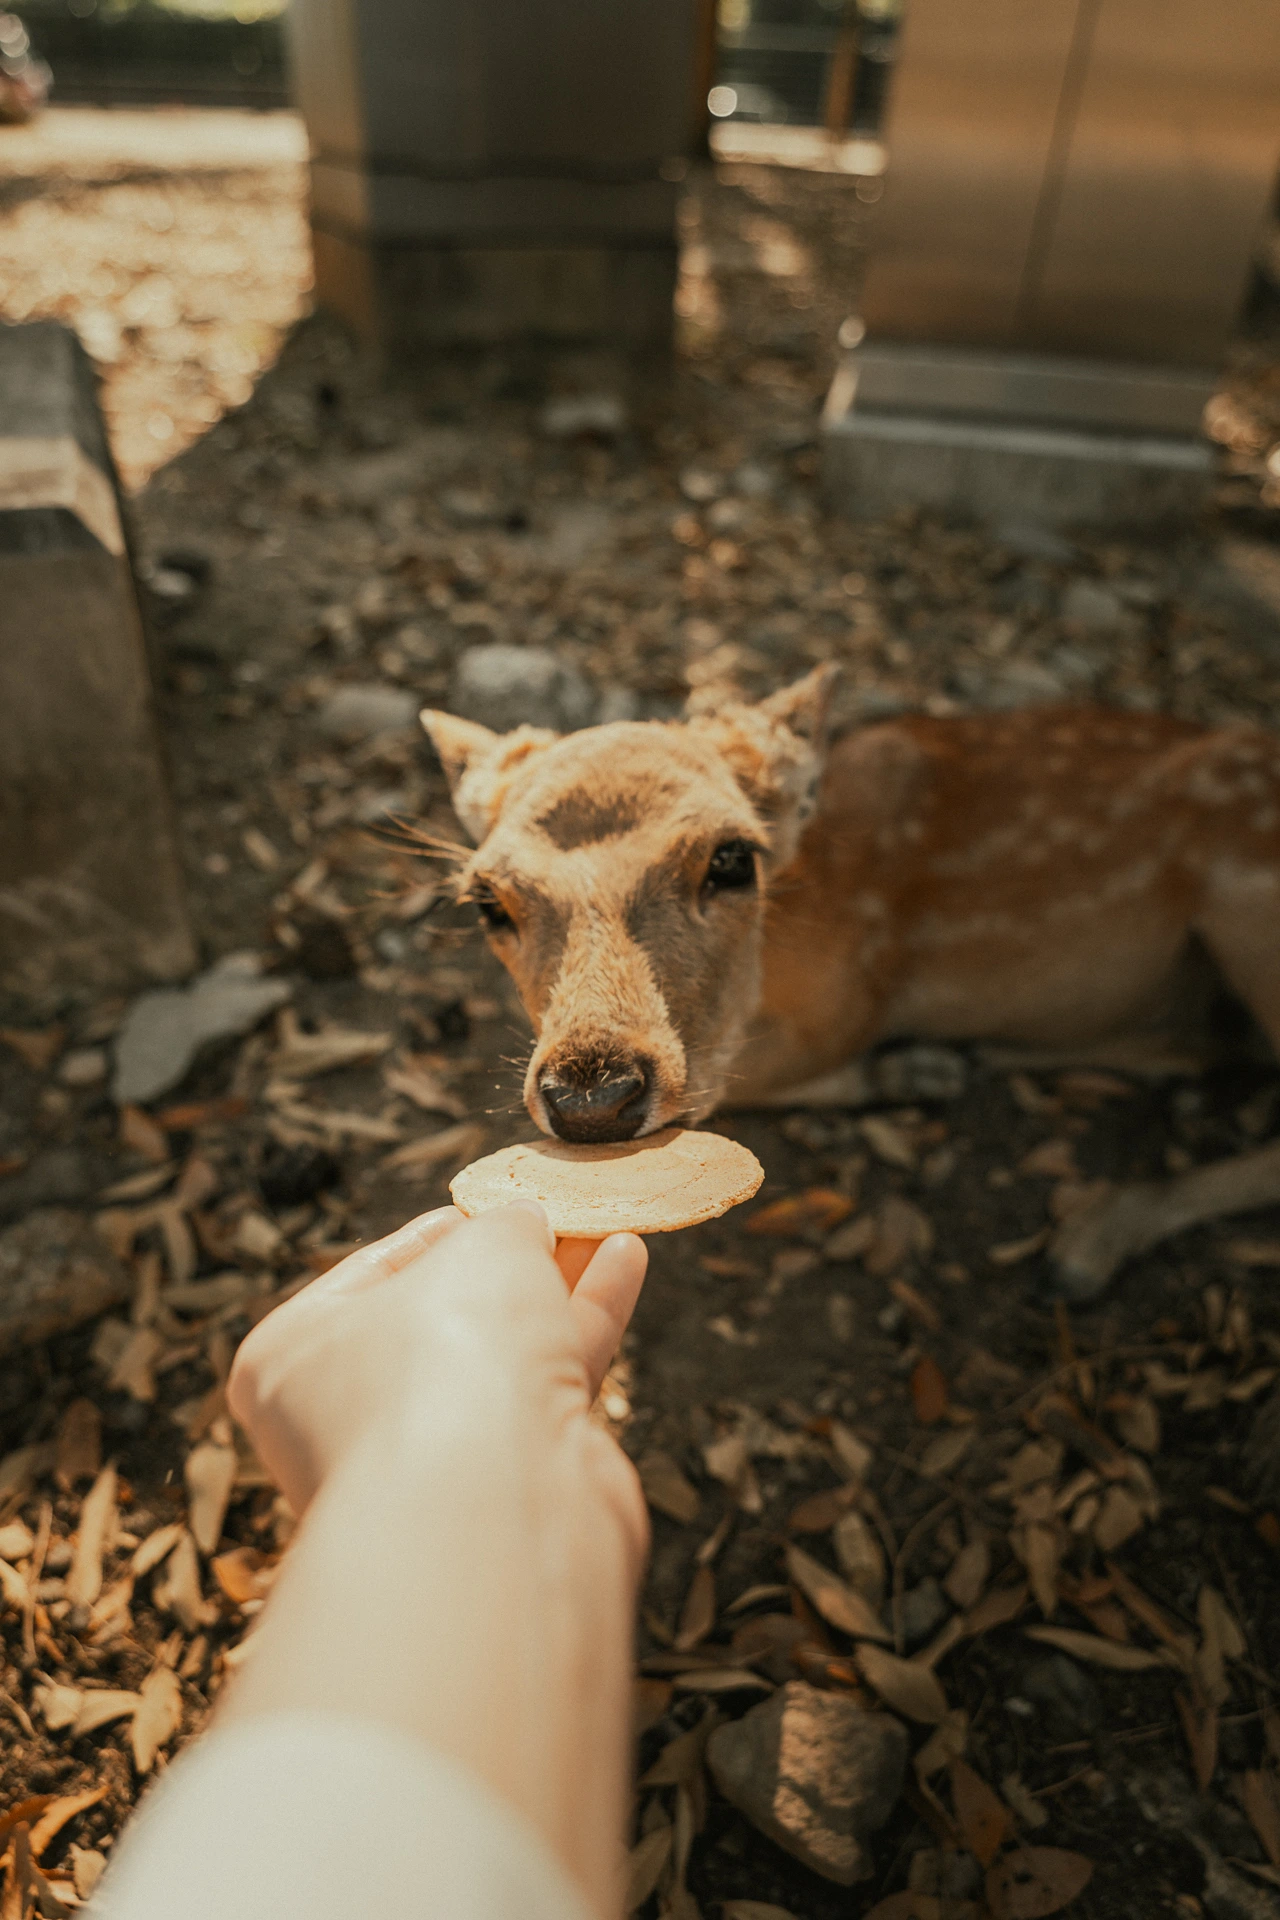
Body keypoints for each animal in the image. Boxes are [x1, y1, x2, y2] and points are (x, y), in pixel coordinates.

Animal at [419, 667, 1280, 1300]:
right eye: (487, 899)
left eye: (732, 858)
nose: (592, 1100)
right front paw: (922, 1068)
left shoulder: (849, 999)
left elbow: (745, 1083)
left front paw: (910, 1069)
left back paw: (1090, 1238)